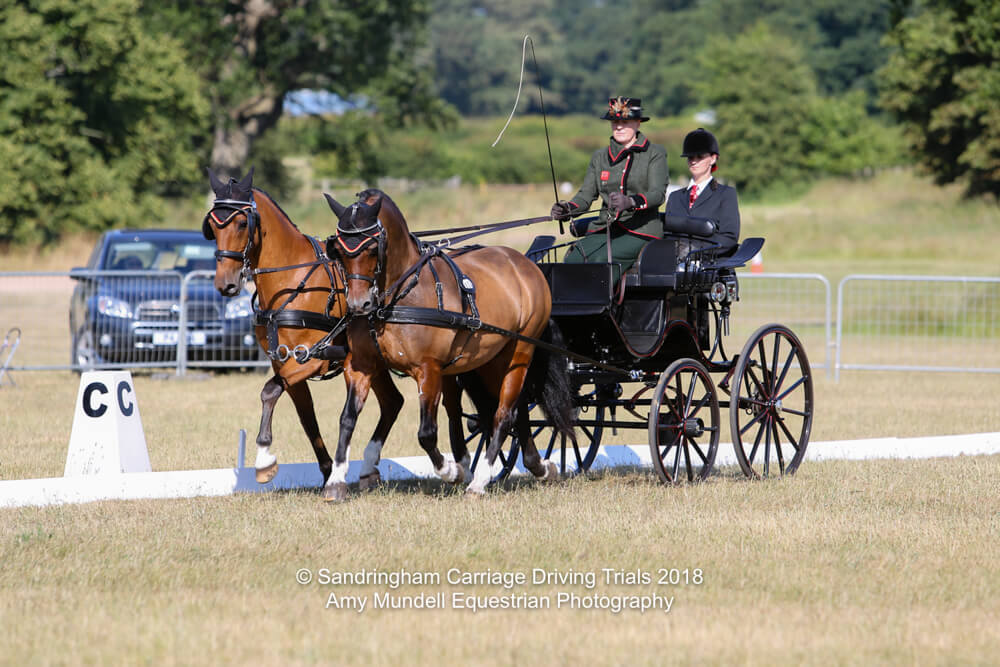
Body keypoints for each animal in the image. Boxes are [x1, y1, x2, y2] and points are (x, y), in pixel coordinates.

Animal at [201, 168, 404, 500]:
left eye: (242, 223)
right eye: (213, 226)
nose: (225, 284)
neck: (293, 282)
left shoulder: (312, 359)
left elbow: (270, 390)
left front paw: (264, 460)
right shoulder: (282, 363)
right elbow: (306, 418)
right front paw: (326, 472)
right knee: (392, 402)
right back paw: (370, 470)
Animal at [320, 188, 572, 496]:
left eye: (371, 248)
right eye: (339, 250)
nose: (359, 304)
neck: (396, 299)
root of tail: (526, 265)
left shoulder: (428, 369)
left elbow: (426, 433)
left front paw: (451, 471)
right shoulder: (361, 366)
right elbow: (347, 419)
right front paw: (335, 481)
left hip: (519, 353)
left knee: (503, 413)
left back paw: (479, 480)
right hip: (490, 361)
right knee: (514, 409)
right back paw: (539, 467)